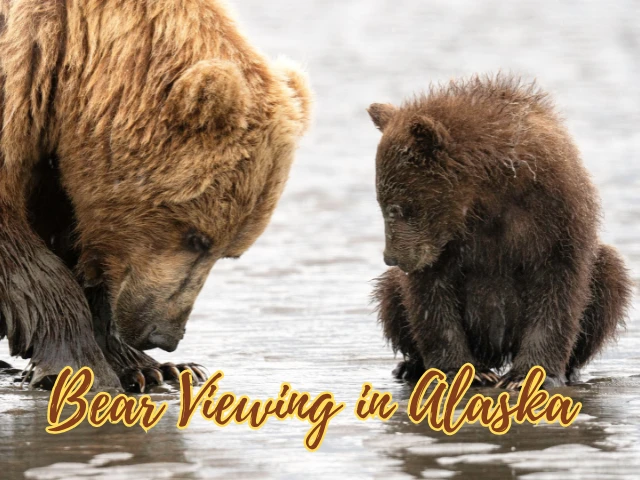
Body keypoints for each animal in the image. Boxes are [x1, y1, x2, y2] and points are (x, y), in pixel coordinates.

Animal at [368, 75, 632, 389]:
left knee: (609, 275)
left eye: (395, 207)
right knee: (390, 294)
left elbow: (559, 286)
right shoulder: (443, 242)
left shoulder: (555, 213)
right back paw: (412, 366)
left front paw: (527, 376)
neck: (489, 192)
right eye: (382, 203)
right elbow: (431, 296)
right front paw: (461, 371)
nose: (392, 258)